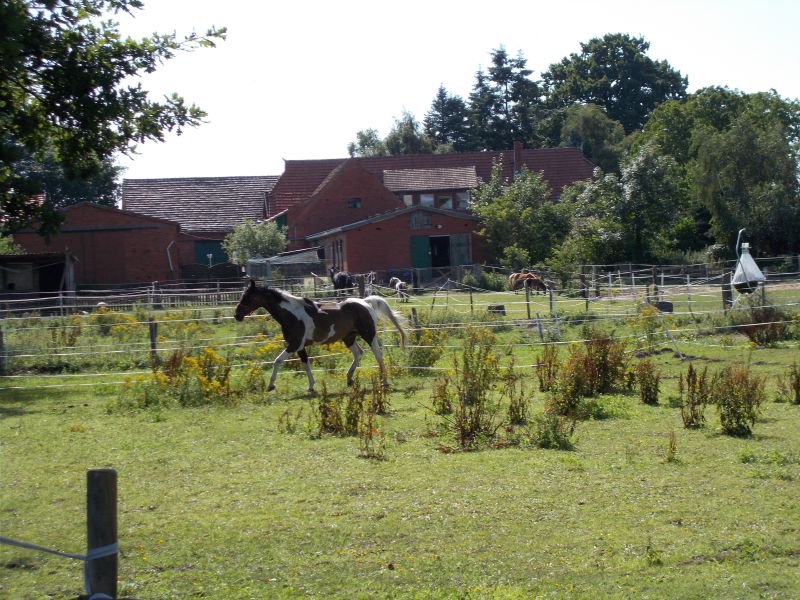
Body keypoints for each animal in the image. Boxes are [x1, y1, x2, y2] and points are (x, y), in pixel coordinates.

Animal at [233, 280, 406, 394]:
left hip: (369, 335)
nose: (237, 315)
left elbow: (277, 361)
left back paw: (384, 382)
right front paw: (311, 387)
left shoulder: (294, 344)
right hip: (348, 337)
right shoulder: (300, 347)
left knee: (378, 355)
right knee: (359, 353)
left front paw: (271, 386)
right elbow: (306, 364)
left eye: (247, 296)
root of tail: (365, 302)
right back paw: (349, 379)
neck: (292, 314)